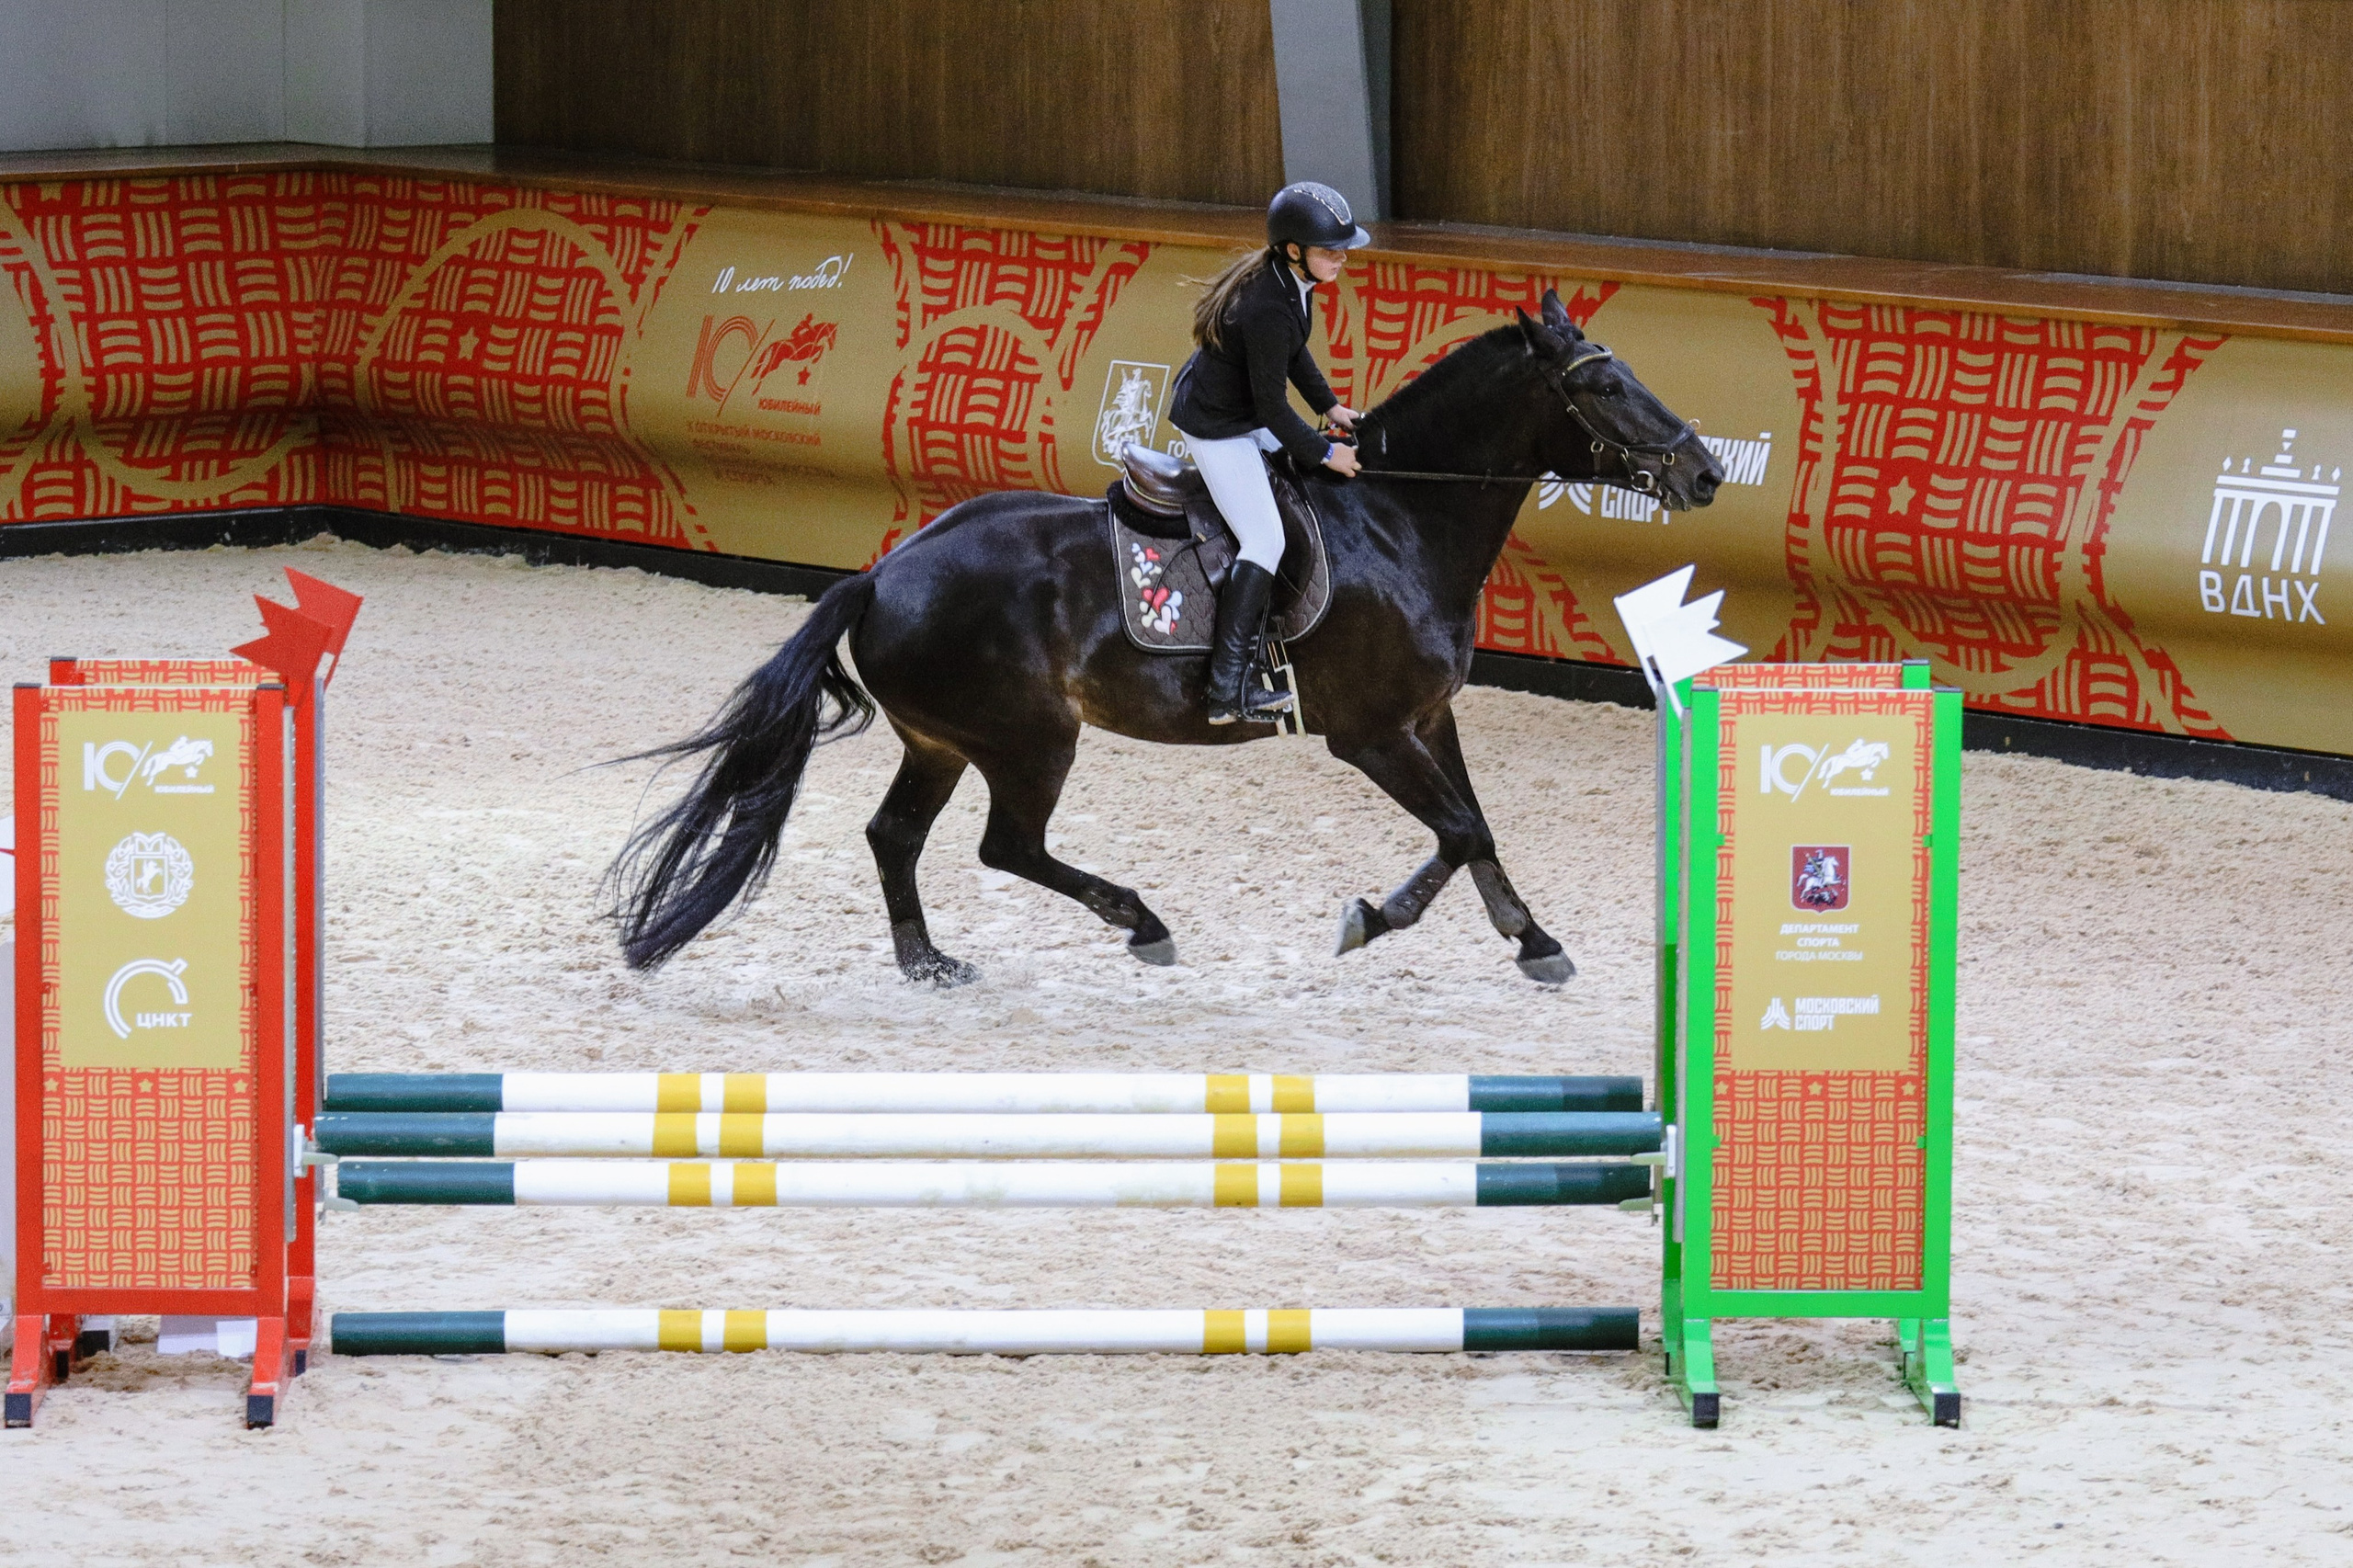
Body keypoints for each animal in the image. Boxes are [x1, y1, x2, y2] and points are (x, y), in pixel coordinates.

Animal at [610, 288, 1723, 986]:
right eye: (1604, 386)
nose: (1707, 473)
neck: (1401, 515)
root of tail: (880, 573)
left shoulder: (1428, 718)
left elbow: (1479, 828)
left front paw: (1533, 941)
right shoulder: (1369, 734)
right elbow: (1458, 832)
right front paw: (1370, 920)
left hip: (940, 740)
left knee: (896, 836)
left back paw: (928, 962)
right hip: (1028, 739)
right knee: (1007, 844)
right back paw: (1141, 923)